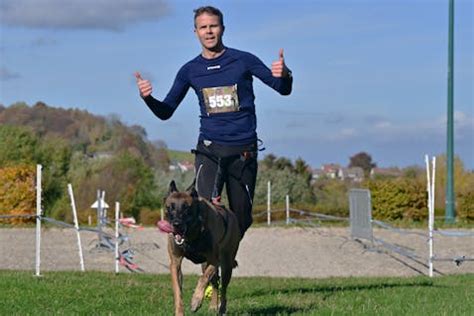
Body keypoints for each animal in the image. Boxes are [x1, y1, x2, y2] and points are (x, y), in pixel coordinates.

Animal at [165, 181, 243, 314]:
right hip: (204, 265)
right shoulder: (175, 263)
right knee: (215, 284)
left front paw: (196, 301)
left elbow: (203, 279)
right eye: (170, 207)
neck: (191, 235)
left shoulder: (213, 261)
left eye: (186, 207)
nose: (176, 224)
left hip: (226, 265)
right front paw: (179, 312)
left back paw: (221, 308)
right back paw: (213, 306)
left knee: (223, 287)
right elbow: (178, 292)